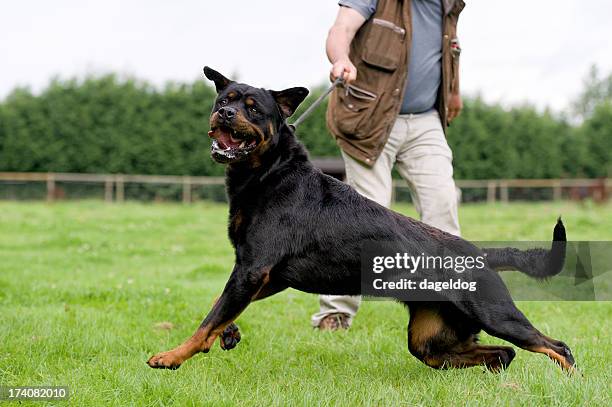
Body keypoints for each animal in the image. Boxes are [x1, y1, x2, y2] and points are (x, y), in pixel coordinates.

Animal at [147, 67, 572, 372]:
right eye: (224, 99)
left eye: (253, 108)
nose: (225, 112)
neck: (270, 173)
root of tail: (481, 254)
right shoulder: (266, 276)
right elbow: (219, 308)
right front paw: (227, 334)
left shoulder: (253, 269)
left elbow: (208, 317)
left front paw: (170, 356)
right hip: (431, 338)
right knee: (498, 354)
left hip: (495, 313)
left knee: (556, 346)